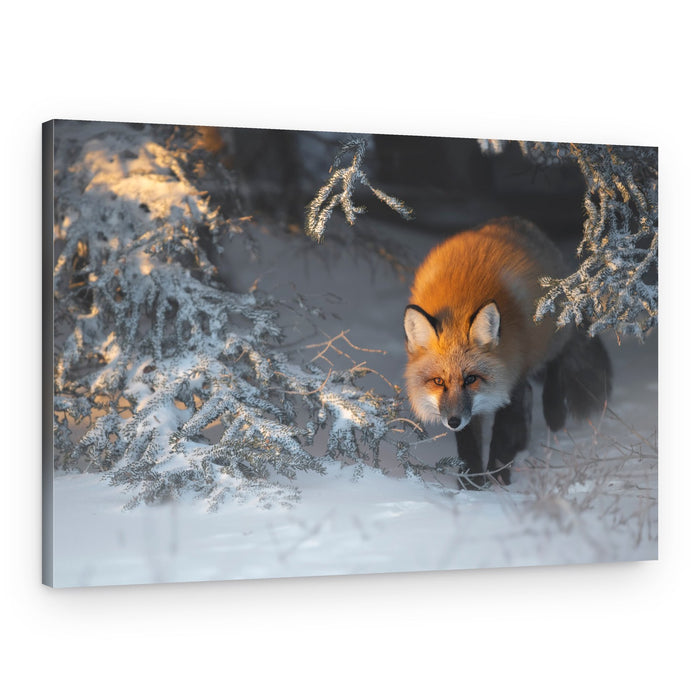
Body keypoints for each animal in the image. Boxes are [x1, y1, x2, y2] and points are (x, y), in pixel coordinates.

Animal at [403, 217, 611, 488]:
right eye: (438, 381)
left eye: (471, 379)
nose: (453, 421)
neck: (461, 303)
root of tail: (514, 221)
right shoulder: (473, 408)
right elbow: (469, 444)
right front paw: (471, 484)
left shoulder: (512, 378)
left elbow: (503, 435)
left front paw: (498, 479)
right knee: (531, 393)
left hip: (549, 337)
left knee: (556, 364)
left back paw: (554, 411)